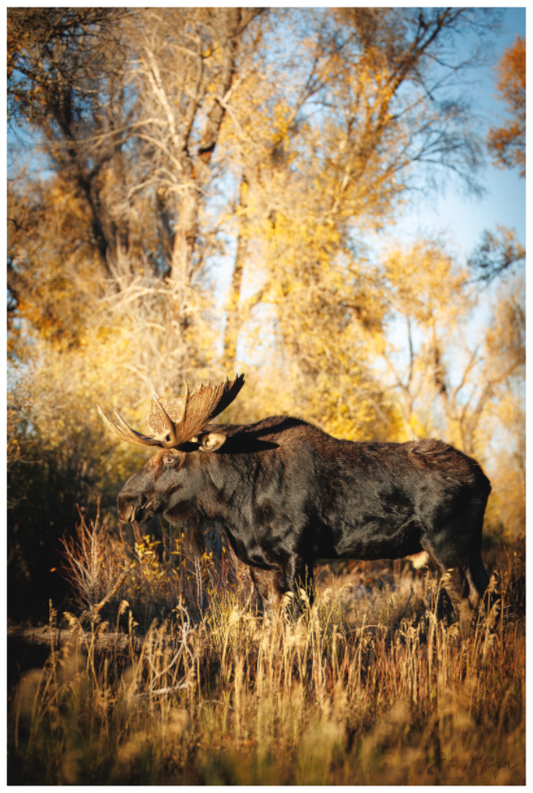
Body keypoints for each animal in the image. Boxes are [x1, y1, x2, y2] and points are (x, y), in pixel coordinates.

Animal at [98, 373, 491, 632]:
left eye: (169, 458)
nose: (125, 501)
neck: (235, 505)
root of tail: (484, 479)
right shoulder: (257, 563)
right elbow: (274, 625)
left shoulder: (297, 555)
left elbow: (300, 624)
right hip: (470, 547)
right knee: (482, 590)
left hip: (446, 545)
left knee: (466, 602)